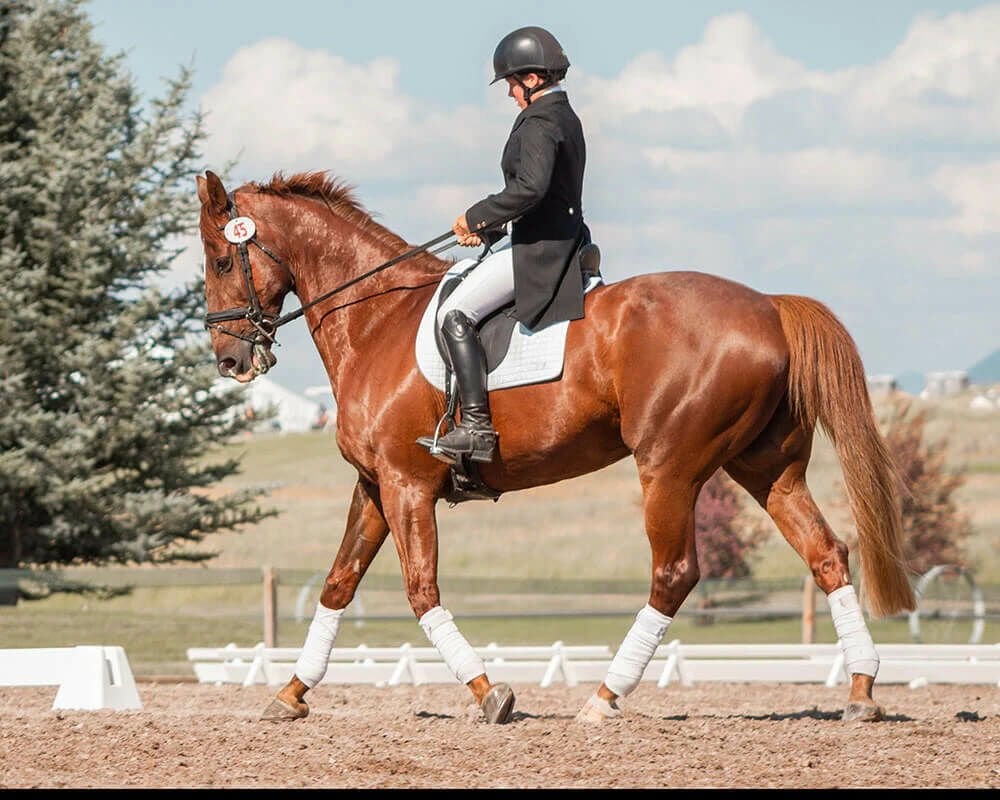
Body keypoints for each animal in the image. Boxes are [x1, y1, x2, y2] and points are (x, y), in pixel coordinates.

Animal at [193, 167, 916, 724]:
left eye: (223, 259)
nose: (229, 360)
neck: (376, 320)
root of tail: (768, 306)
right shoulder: (375, 484)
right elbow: (339, 584)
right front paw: (290, 694)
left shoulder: (406, 485)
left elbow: (421, 591)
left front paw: (490, 693)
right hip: (767, 468)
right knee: (826, 553)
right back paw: (861, 691)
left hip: (669, 467)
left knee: (674, 574)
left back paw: (604, 697)